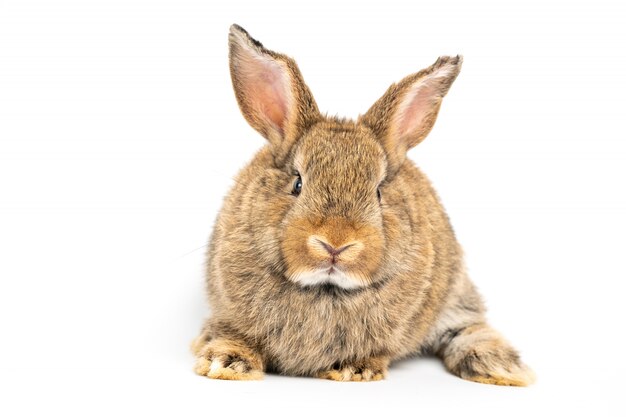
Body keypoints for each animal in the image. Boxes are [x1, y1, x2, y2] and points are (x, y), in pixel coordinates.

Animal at [193, 24, 532, 386]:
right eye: (297, 183)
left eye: (379, 192)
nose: (335, 244)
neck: (325, 289)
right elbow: (232, 335)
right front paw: (225, 362)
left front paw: (354, 369)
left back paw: (501, 368)